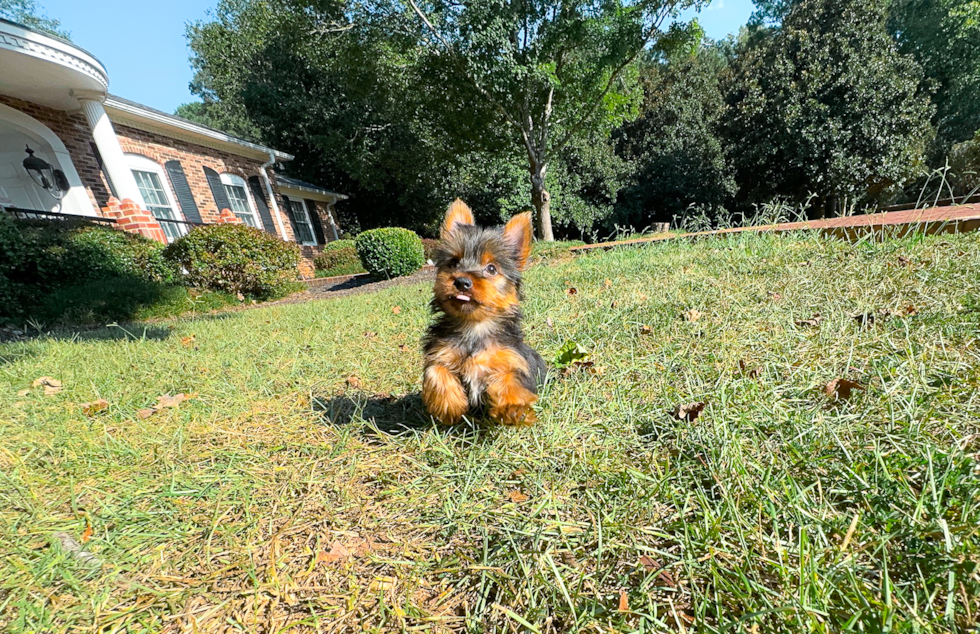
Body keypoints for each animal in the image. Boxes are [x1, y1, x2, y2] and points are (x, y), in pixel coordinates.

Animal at [422, 198, 544, 424]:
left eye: (491, 269)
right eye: (453, 263)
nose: (462, 281)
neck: (474, 326)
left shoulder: (511, 359)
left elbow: (509, 377)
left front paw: (513, 407)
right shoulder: (440, 352)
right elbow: (436, 370)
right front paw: (451, 405)